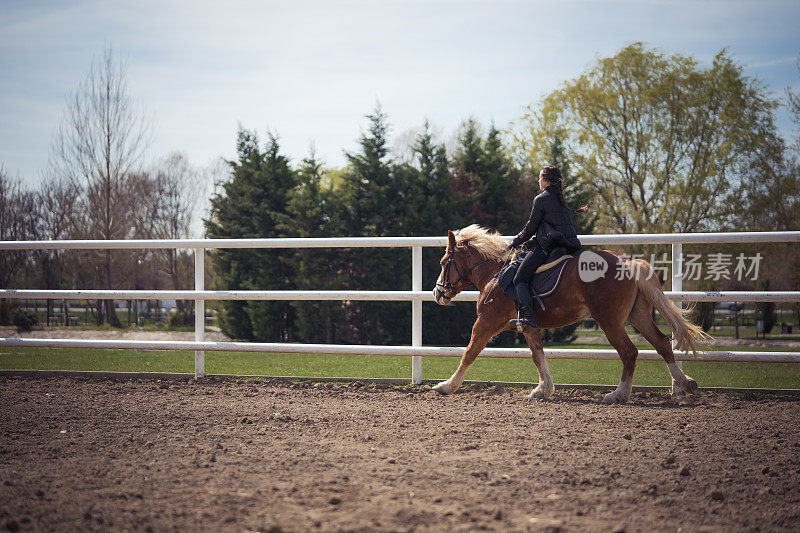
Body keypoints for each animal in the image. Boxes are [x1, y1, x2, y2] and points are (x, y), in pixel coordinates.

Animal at [428, 224, 708, 404]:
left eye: (443, 263)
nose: (438, 292)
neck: (495, 273)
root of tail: (628, 263)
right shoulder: (528, 326)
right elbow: (537, 355)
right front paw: (543, 390)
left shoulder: (485, 323)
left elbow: (470, 352)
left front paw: (446, 386)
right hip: (637, 316)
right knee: (662, 343)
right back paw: (684, 383)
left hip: (610, 322)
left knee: (630, 352)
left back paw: (619, 395)